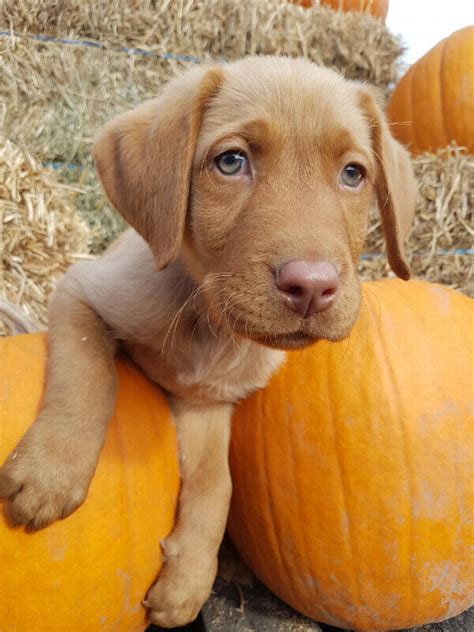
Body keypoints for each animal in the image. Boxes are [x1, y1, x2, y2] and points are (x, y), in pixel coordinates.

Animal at [0, 55, 414, 628]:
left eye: (353, 173)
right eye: (232, 162)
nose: (312, 287)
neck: (210, 327)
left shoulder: (206, 404)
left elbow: (219, 483)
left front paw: (189, 581)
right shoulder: (82, 289)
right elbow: (89, 376)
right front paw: (52, 473)